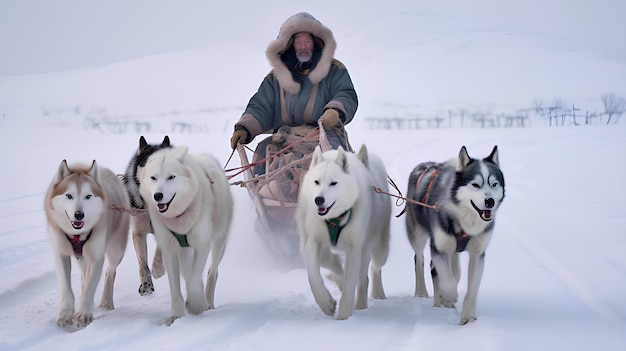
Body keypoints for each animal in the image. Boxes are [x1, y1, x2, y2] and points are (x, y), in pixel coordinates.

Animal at [44, 161, 129, 328]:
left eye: (88, 196)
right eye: (69, 196)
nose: (79, 215)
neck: (77, 235)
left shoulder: (96, 257)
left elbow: (90, 287)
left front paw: (83, 314)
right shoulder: (60, 254)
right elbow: (66, 287)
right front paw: (65, 314)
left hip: (116, 251)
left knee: (110, 271)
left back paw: (106, 302)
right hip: (82, 257)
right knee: (84, 274)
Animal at [138, 146, 233, 328]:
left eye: (171, 177)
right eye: (153, 178)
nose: (157, 196)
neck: (178, 217)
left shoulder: (202, 244)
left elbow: (194, 281)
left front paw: (197, 305)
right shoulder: (169, 249)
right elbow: (176, 287)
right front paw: (176, 315)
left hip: (219, 243)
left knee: (212, 272)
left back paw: (207, 301)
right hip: (184, 250)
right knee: (188, 271)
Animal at [298, 144, 390, 320]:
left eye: (333, 183)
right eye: (316, 182)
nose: (318, 200)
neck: (334, 219)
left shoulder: (354, 248)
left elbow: (350, 283)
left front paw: (344, 316)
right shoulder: (313, 241)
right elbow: (314, 276)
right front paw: (326, 303)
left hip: (378, 248)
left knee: (371, 271)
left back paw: (370, 297)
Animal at [404, 146, 502, 324]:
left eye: (494, 184)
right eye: (475, 184)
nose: (489, 201)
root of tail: (424, 164)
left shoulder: (478, 254)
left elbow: (471, 288)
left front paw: (468, 317)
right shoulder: (438, 247)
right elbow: (448, 281)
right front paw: (449, 296)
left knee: (451, 269)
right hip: (418, 235)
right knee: (420, 259)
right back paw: (423, 292)